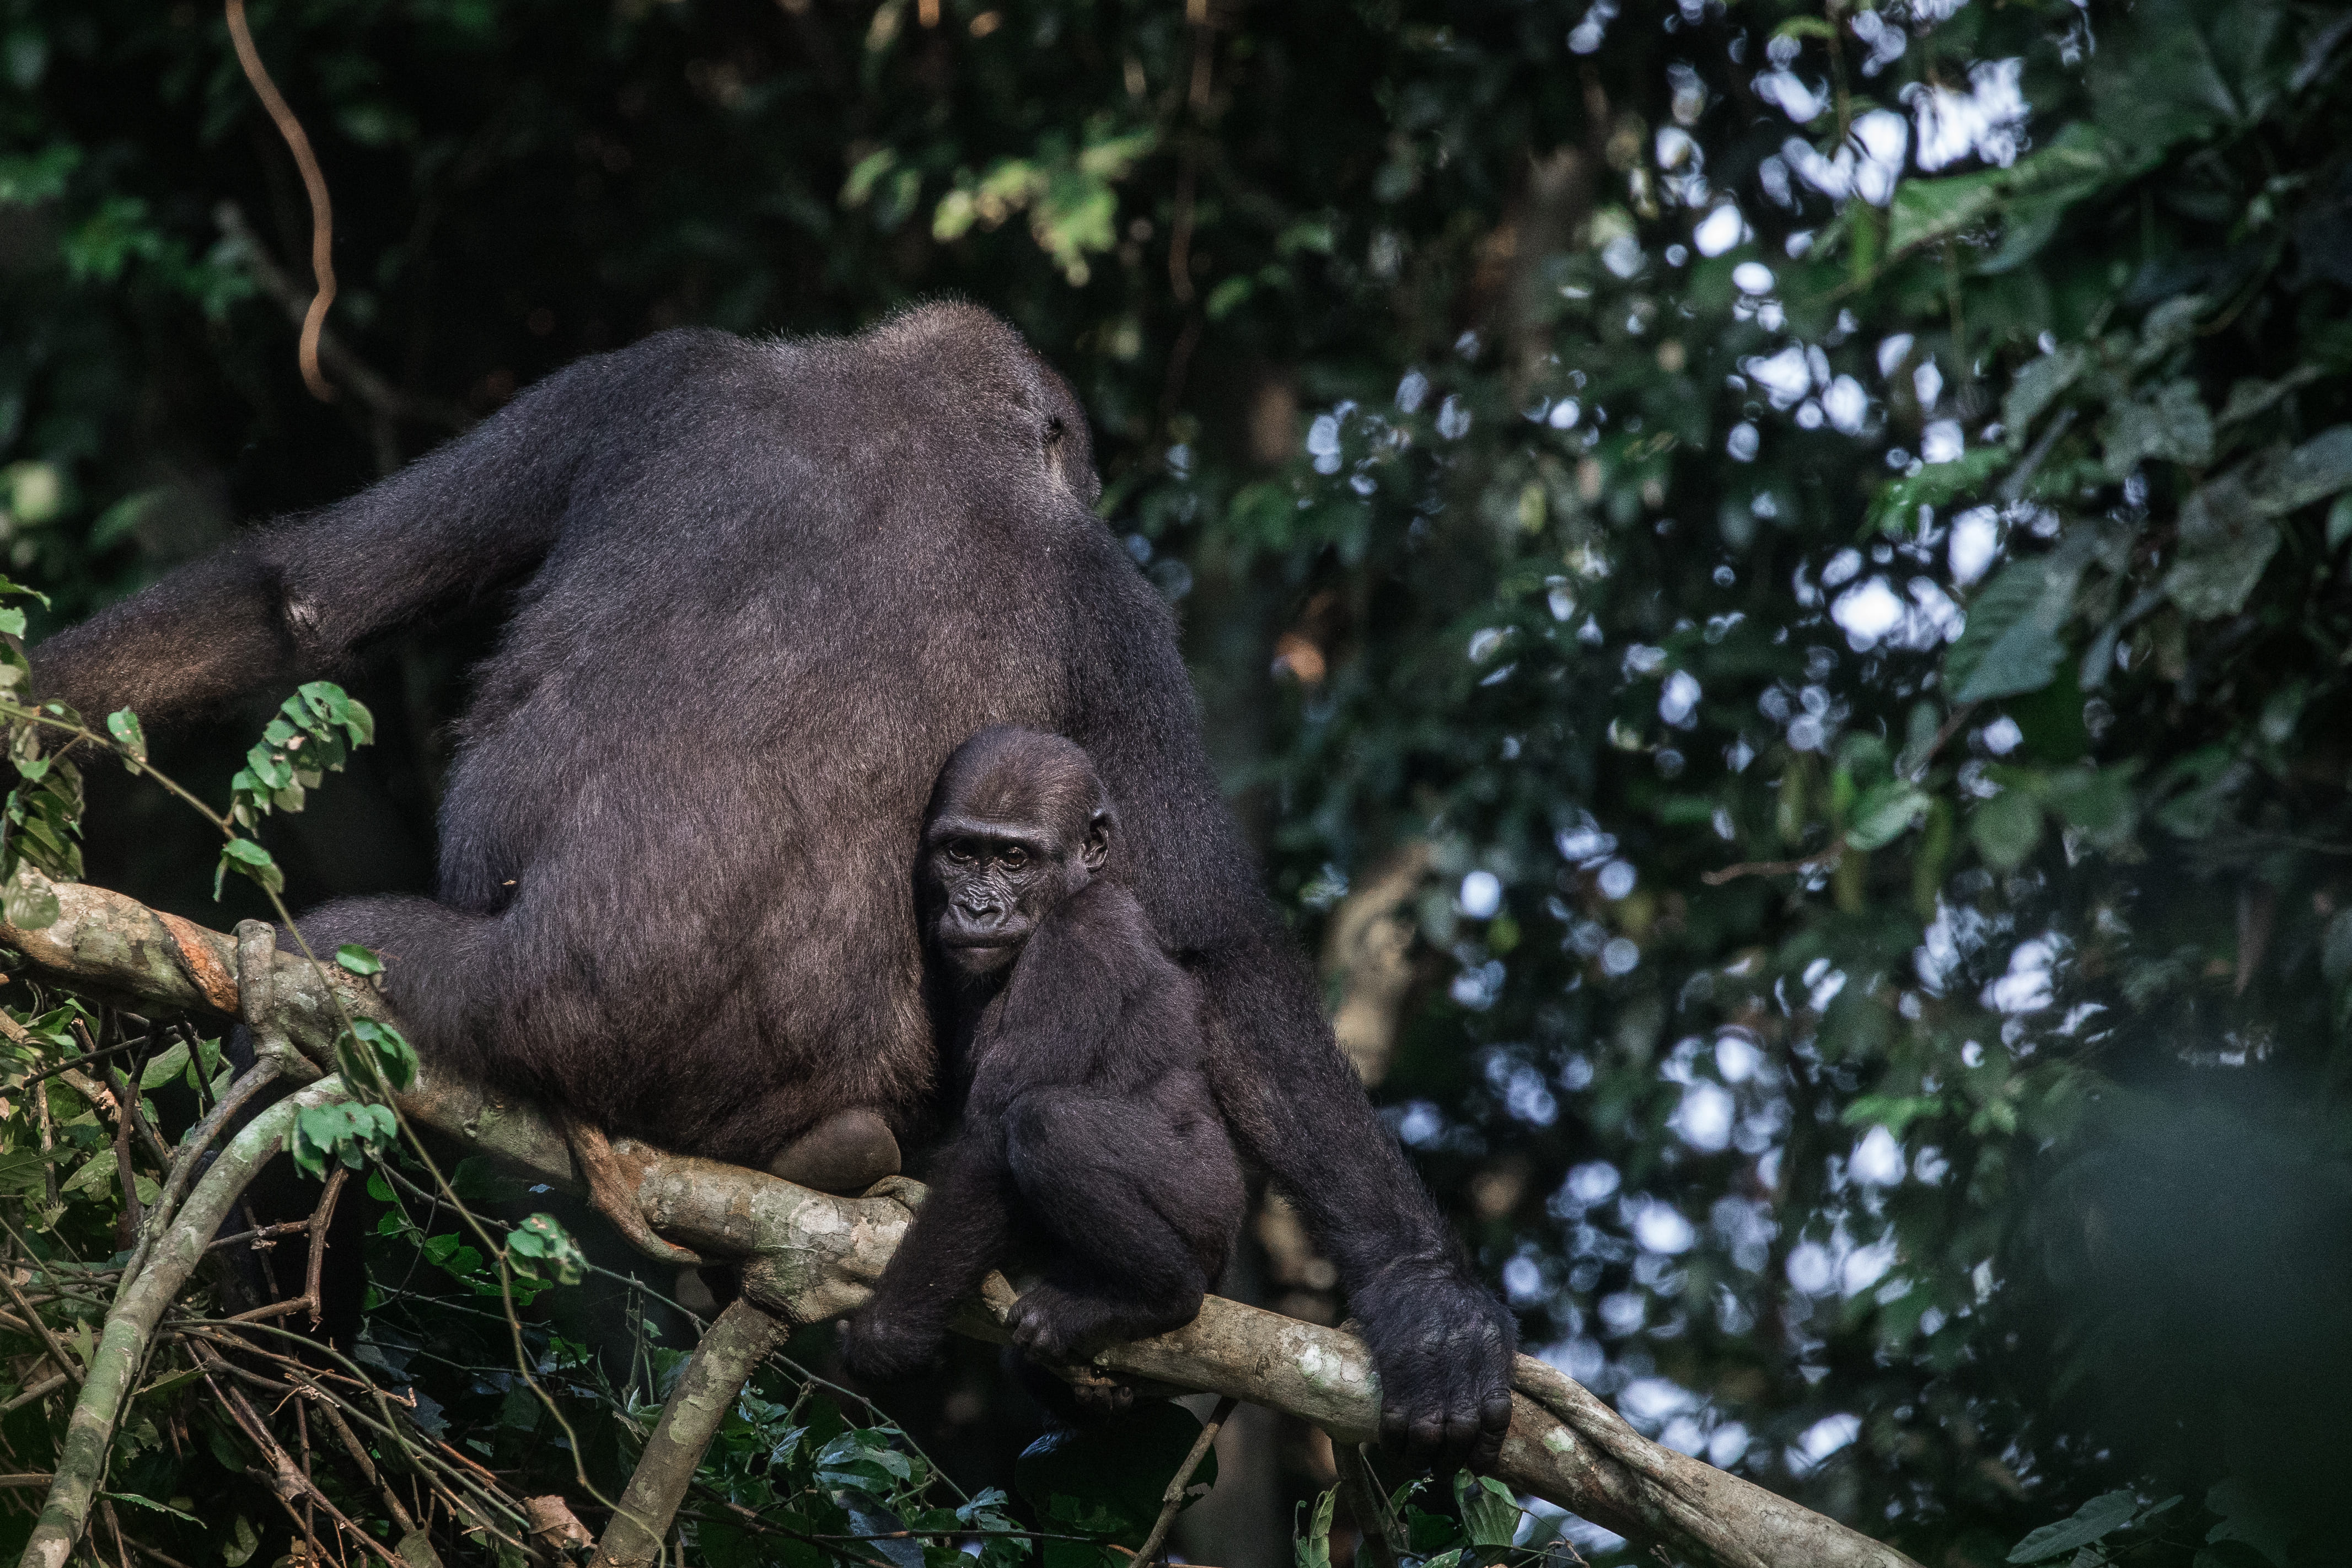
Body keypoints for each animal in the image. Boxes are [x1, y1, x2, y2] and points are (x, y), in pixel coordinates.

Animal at [840, 727, 1244, 1387]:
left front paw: (888, 1332)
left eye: (1014, 859)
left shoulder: (1078, 942)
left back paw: (1156, 1297)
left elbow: (988, 1141)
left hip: (1209, 1202)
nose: (977, 909)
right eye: (961, 851)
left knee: (1048, 1126)